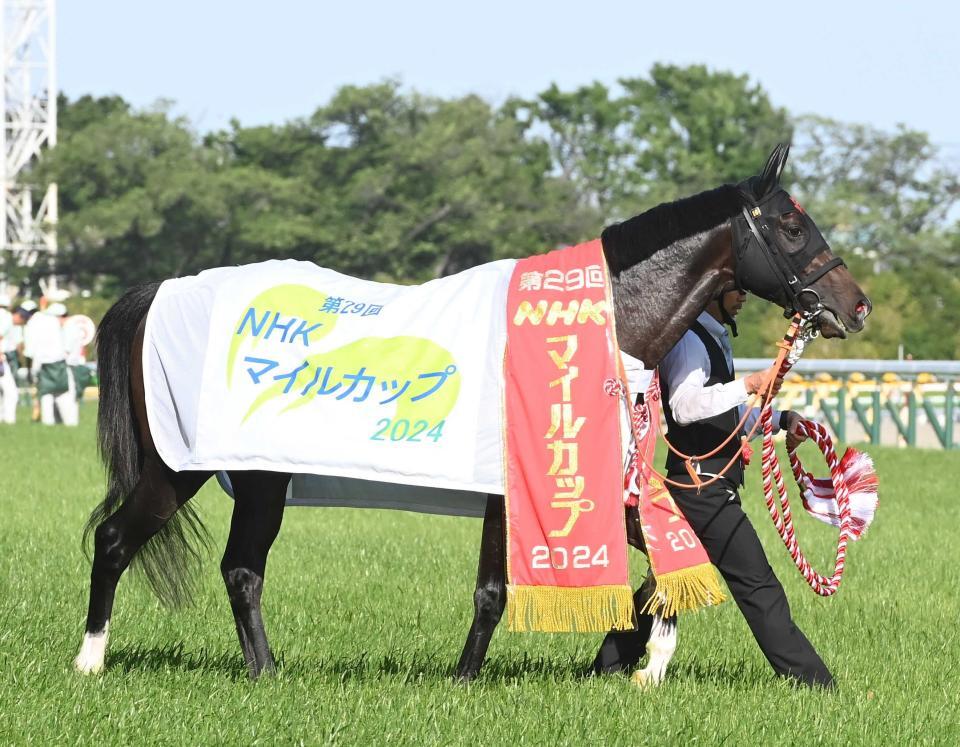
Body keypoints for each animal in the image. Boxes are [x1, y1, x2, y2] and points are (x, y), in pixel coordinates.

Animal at [73, 145, 872, 676]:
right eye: (793, 229)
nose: (854, 304)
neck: (587, 323)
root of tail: (165, 291)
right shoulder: (511, 490)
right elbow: (493, 590)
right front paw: (464, 679)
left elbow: (669, 553)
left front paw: (646, 654)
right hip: (182, 465)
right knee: (118, 540)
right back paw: (91, 661)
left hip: (260, 475)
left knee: (238, 568)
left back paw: (265, 671)